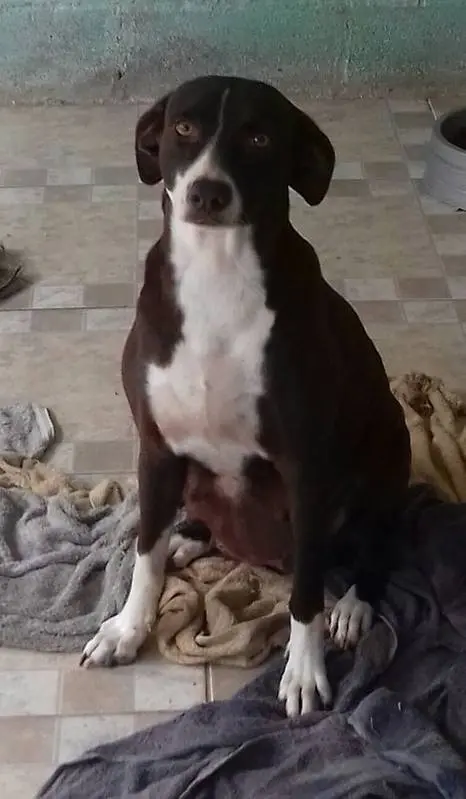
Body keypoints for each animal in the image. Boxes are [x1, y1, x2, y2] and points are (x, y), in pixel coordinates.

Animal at [80, 75, 411, 717]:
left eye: (259, 138)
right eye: (183, 127)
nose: (207, 193)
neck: (217, 274)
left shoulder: (305, 469)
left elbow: (306, 593)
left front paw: (304, 672)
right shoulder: (156, 448)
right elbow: (145, 553)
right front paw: (128, 628)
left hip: (389, 444)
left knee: (375, 543)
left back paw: (354, 604)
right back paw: (190, 540)